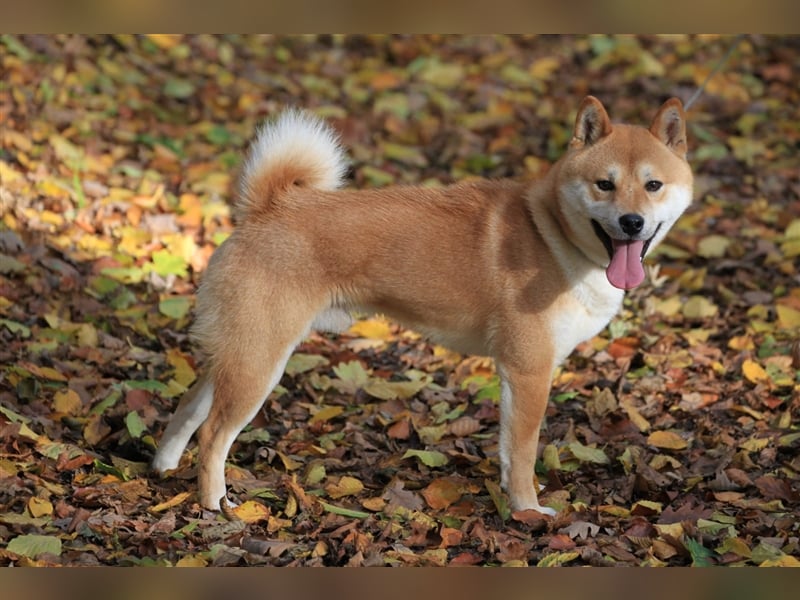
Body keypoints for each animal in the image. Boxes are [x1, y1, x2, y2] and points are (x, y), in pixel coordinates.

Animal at [155, 96, 692, 512]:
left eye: (653, 186)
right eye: (605, 183)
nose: (631, 223)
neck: (551, 234)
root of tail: (267, 207)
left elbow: (506, 453)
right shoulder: (529, 372)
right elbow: (522, 455)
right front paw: (528, 512)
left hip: (240, 352)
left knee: (188, 410)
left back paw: (163, 467)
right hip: (259, 363)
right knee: (213, 435)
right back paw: (215, 504)